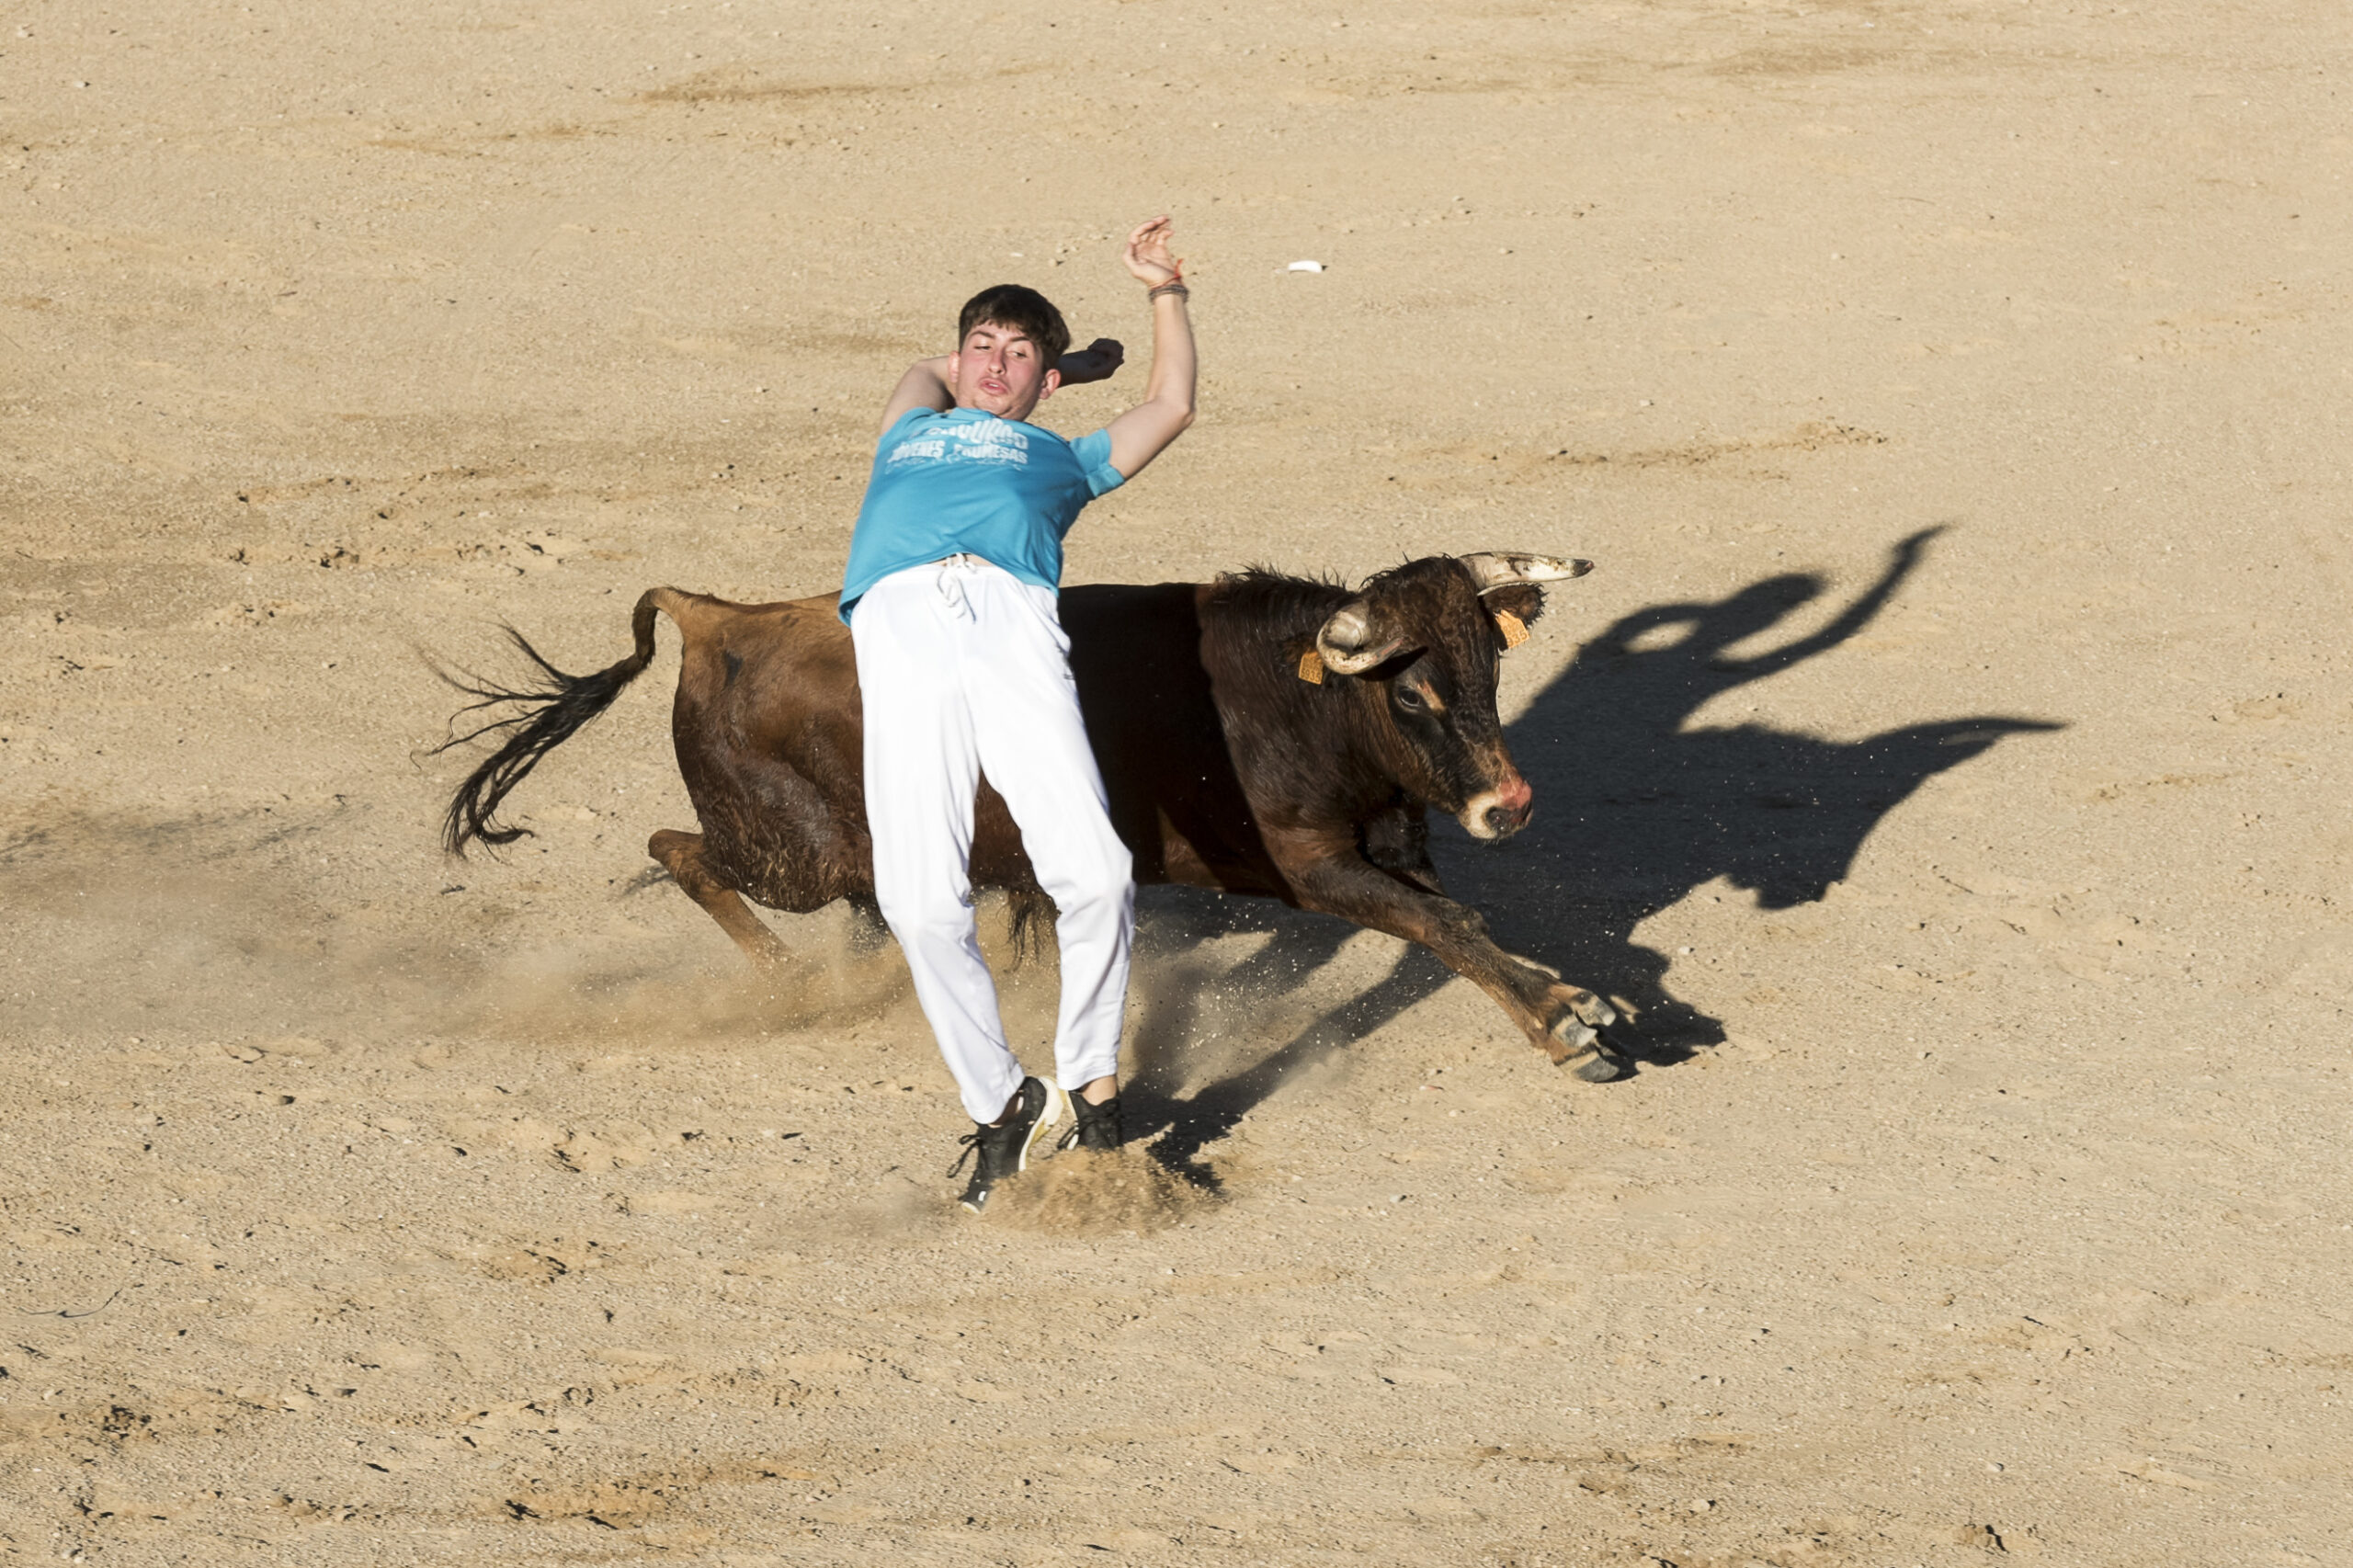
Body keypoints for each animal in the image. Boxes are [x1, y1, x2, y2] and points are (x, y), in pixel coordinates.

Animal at [438, 555, 1637, 1083]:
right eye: (1414, 693)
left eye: (1490, 669)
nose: (1506, 802)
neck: (1291, 696)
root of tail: (717, 616)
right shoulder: (1312, 865)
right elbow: (1444, 929)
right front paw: (1566, 1023)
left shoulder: (1391, 848)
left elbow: (1463, 925)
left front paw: (1585, 998)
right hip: (790, 855)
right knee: (679, 851)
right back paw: (790, 984)